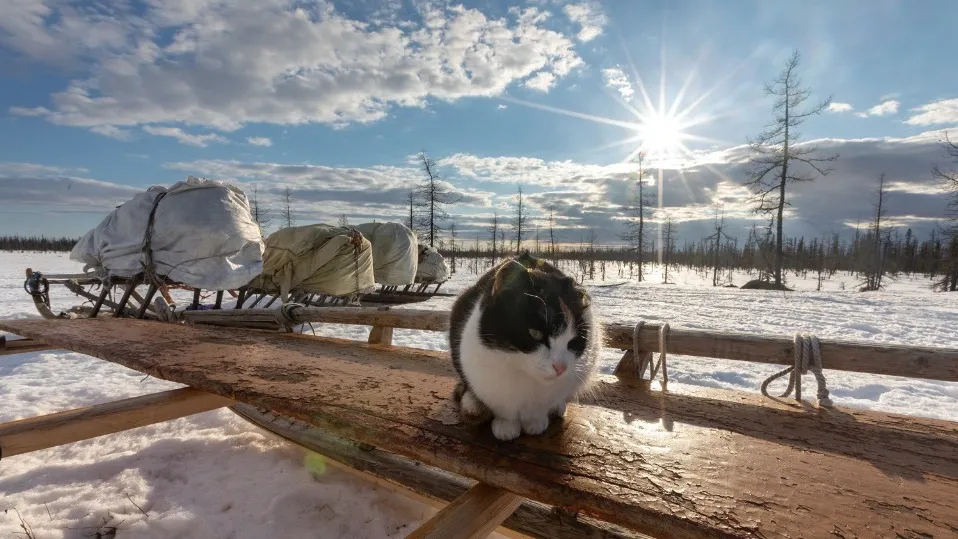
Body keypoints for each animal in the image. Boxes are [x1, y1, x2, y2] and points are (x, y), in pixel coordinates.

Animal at [448, 253, 600, 442]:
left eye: (574, 341)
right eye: (535, 333)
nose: (561, 367)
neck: (523, 373)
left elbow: (538, 411)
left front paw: (535, 422)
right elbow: (504, 411)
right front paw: (506, 426)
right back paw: (473, 404)